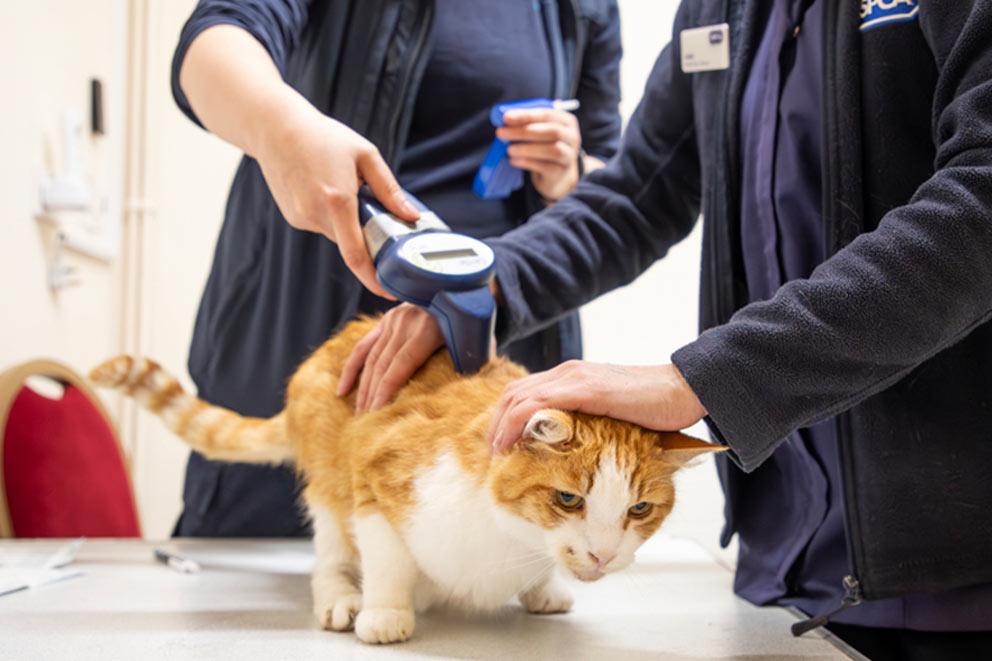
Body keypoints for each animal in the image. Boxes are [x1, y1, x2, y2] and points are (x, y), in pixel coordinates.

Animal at [89, 318, 716, 640]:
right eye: (568, 499)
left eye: (638, 511)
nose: (603, 556)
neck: (510, 540)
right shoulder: (378, 477)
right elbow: (388, 558)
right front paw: (387, 612)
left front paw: (543, 589)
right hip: (327, 485)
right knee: (329, 550)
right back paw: (343, 595)